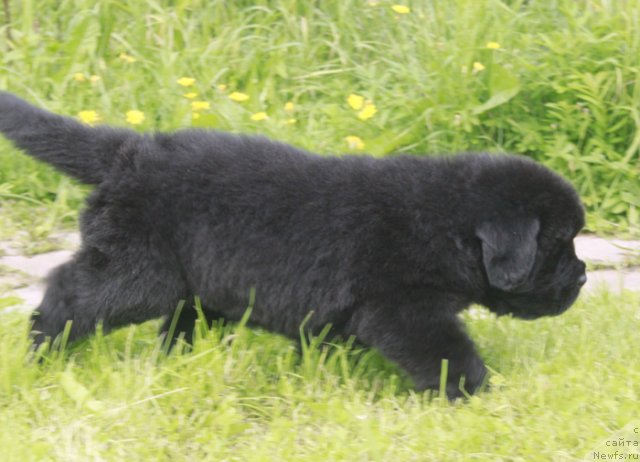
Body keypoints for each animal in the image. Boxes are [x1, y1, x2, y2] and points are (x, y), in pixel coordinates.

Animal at [0, 92, 584, 398]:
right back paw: (42, 350)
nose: (582, 277)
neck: (442, 223)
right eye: (558, 246)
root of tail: (127, 150)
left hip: (196, 281)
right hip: (137, 270)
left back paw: (181, 368)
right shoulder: (405, 308)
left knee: (179, 323)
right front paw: (481, 394)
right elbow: (448, 352)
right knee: (69, 292)